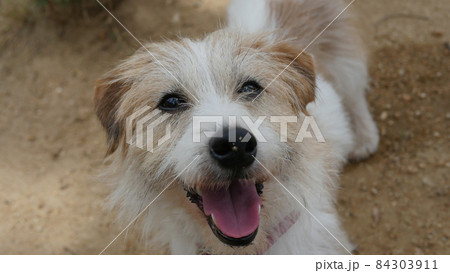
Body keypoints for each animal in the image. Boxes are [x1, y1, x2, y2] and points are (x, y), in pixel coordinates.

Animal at [94, 0, 380, 254]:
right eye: (171, 102)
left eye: (251, 87)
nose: (235, 145)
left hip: (346, 64)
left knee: (355, 95)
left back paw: (364, 137)